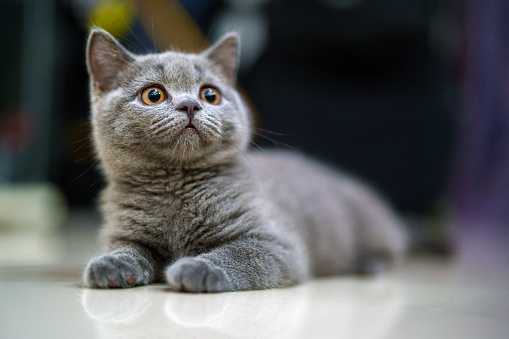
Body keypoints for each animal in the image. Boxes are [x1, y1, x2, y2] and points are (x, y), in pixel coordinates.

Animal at [82, 29, 404, 294]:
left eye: (210, 94)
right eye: (153, 94)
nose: (190, 104)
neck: (175, 186)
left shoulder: (276, 242)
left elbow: (239, 254)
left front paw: (197, 268)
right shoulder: (126, 232)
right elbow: (129, 248)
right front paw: (111, 264)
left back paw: (371, 264)